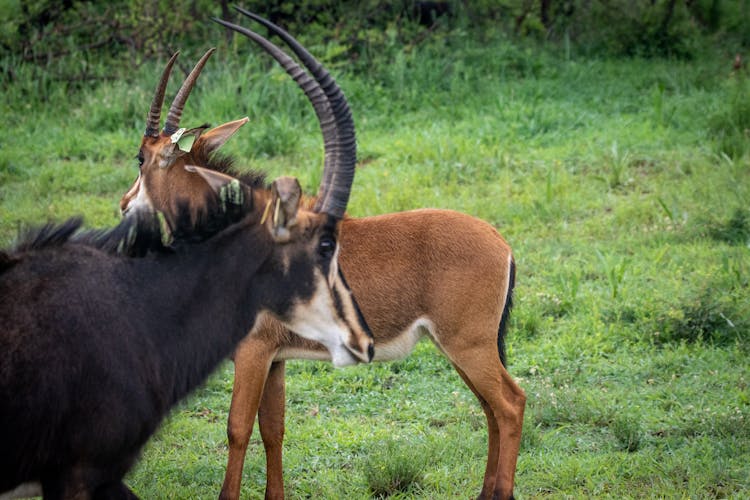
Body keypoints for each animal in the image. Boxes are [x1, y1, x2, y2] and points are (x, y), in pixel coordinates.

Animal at [119, 10, 528, 500]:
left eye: (140, 158)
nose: (124, 203)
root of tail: (502, 245)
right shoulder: (275, 357)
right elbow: (273, 429)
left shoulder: (252, 351)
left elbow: (237, 429)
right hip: (460, 347)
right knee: (490, 408)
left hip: (469, 344)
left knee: (510, 404)